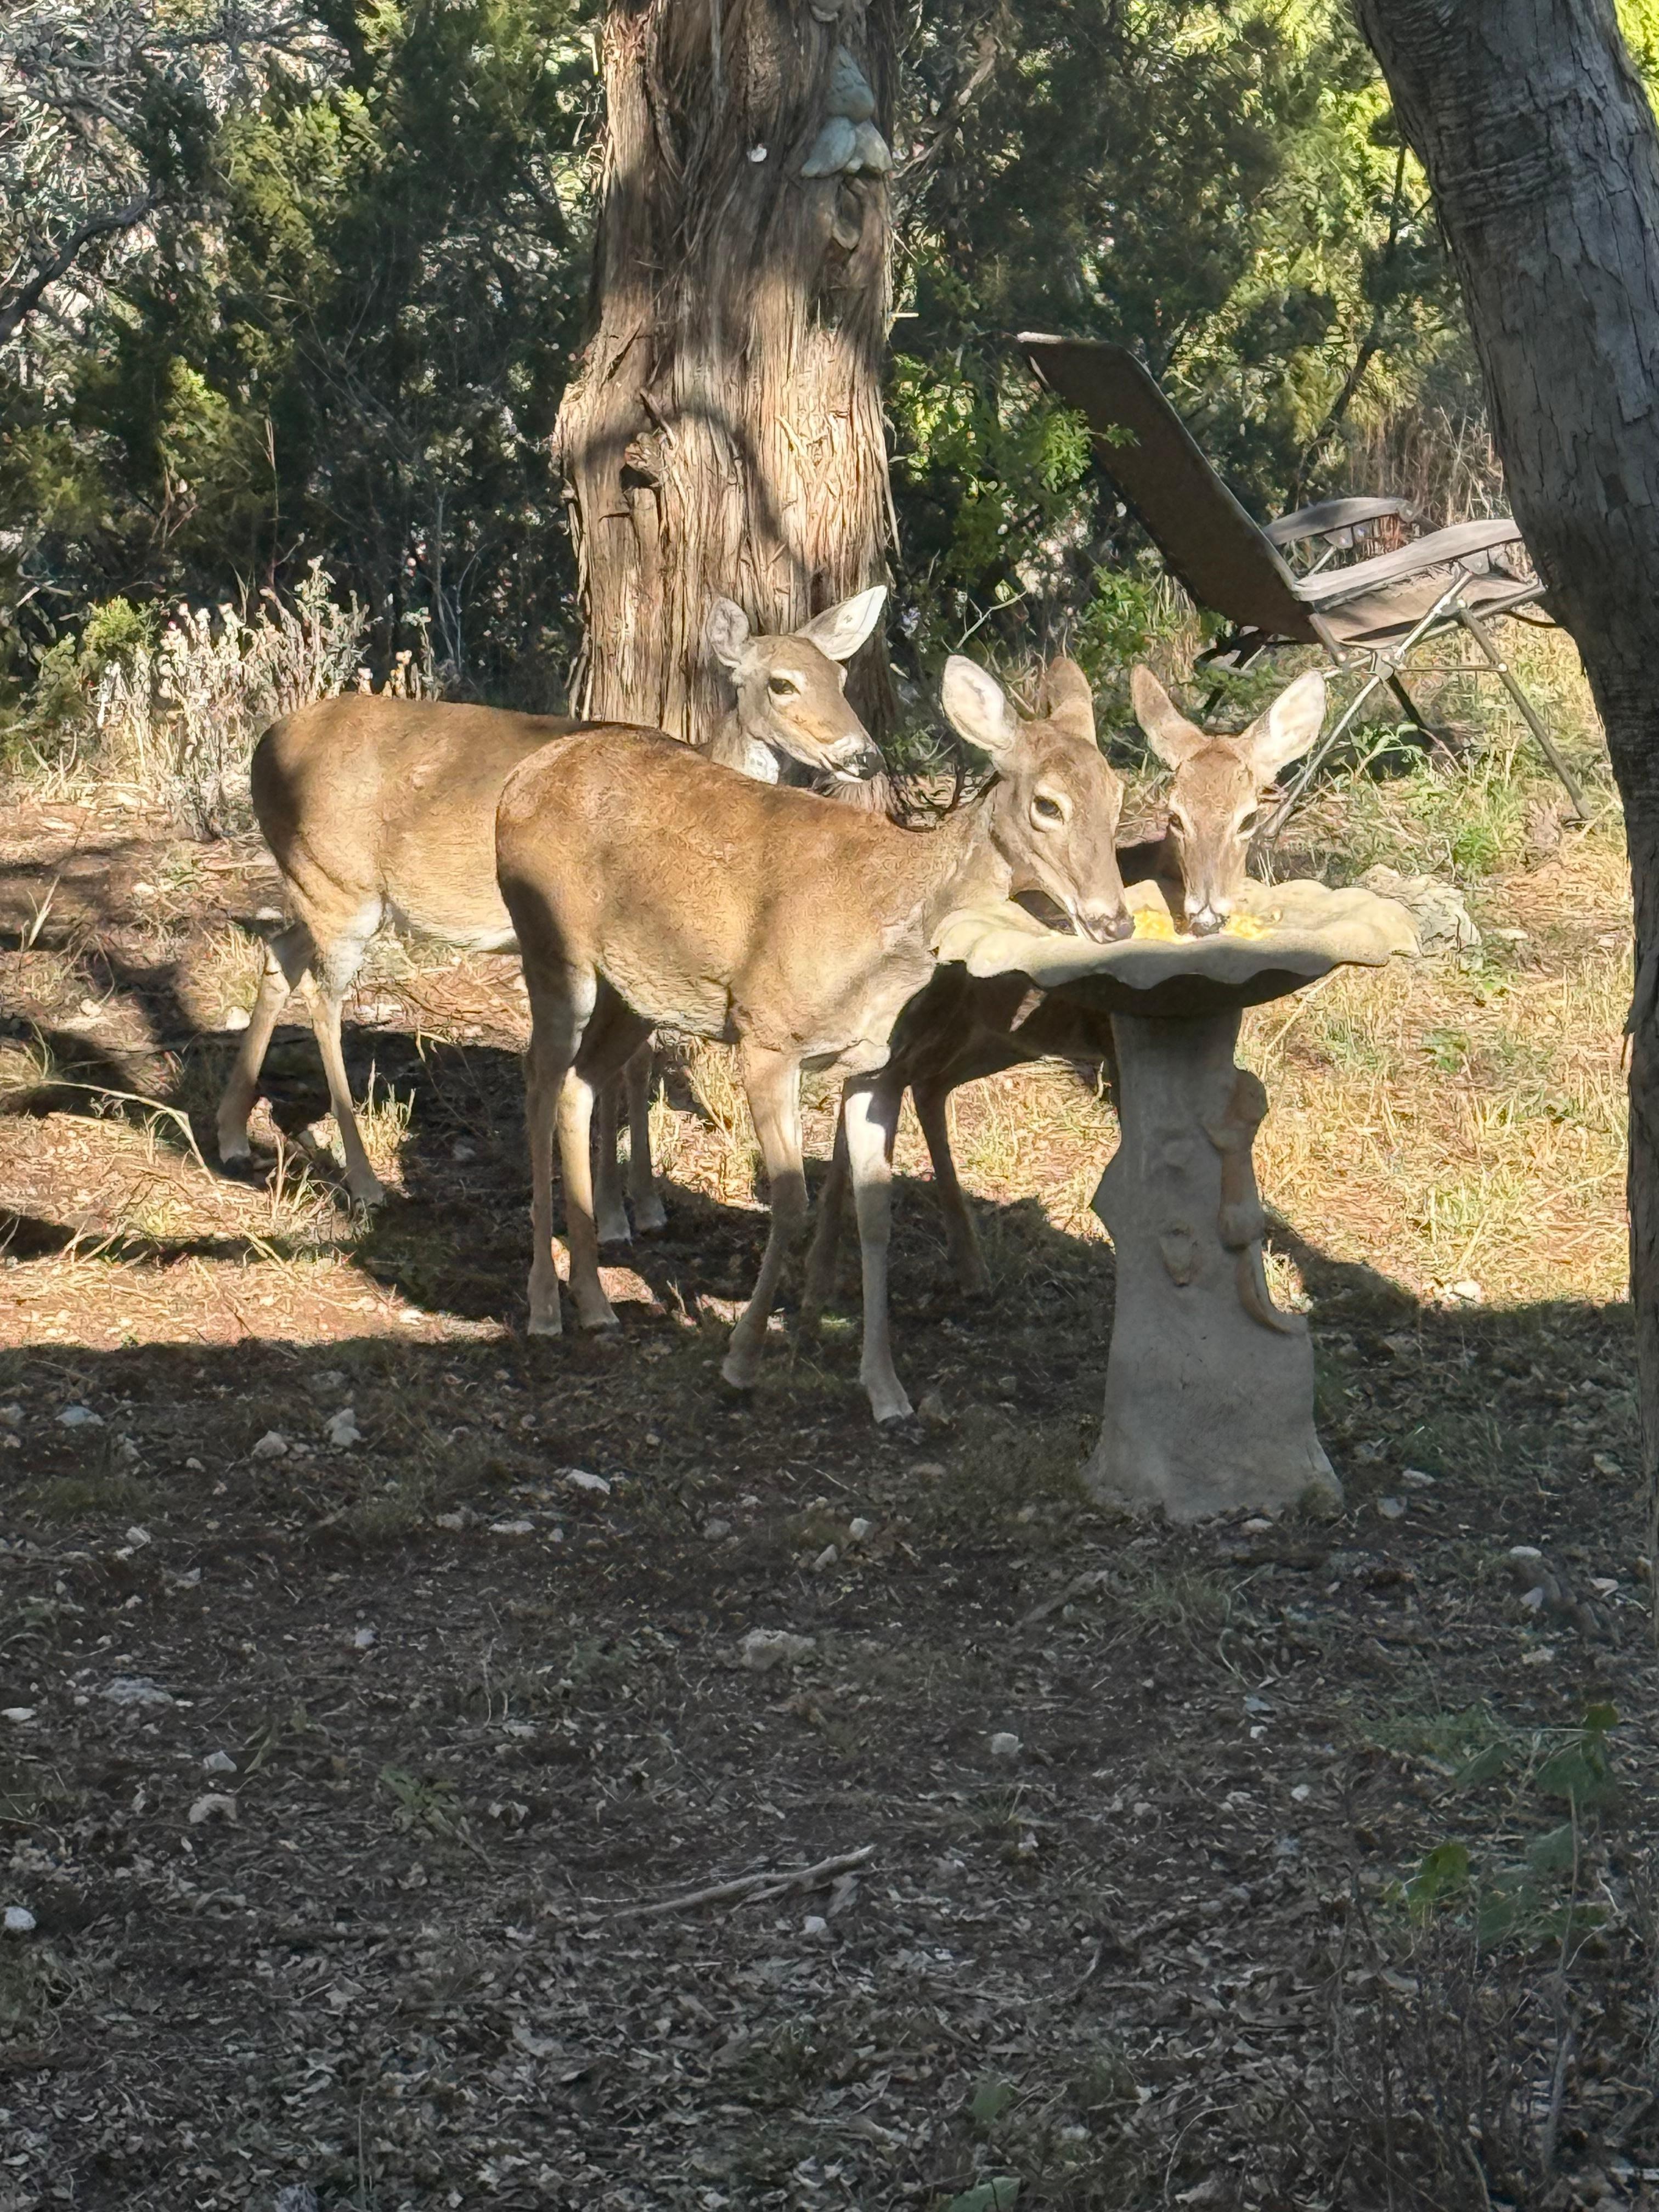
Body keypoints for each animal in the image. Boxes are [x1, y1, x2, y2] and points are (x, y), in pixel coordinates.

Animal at [213, 588, 888, 1210]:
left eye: (841, 677)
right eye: (782, 683)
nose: (866, 756)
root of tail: (262, 748)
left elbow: (634, 1062)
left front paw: (641, 1201)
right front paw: (619, 1207)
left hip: (322, 885)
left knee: (279, 953)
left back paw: (232, 1137)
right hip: (341, 886)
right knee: (322, 998)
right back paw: (363, 1180)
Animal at [494, 652, 1131, 1423]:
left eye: (1117, 794)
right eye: (1047, 804)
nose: (1114, 920)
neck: (885, 935)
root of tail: (519, 781)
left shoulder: (875, 1069)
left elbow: (875, 1211)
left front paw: (886, 1389)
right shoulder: (766, 1034)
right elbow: (793, 1198)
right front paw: (740, 1360)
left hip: (636, 988)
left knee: (579, 1086)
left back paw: (594, 1304)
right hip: (552, 947)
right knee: (538, 1079)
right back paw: (543, 1307)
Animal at [800, 662, 1328, 1309]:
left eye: (1250, 817)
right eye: (1175, 816)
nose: (1208, 914)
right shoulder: (1113, 1039)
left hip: (991, 1036)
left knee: (924, 1087)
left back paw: (970, 1269)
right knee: (869, 1098)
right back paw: (820, 1280)